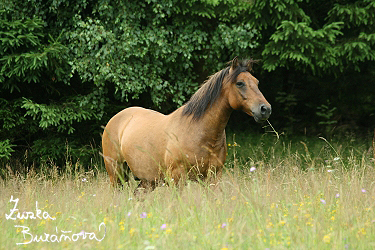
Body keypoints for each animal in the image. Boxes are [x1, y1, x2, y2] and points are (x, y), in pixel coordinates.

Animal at [101, 57, 272, 194]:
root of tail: (116, 119)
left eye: (257, 82)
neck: (199, 133)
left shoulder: (213, 177)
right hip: (116, 173)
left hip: (147, 181)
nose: (265, 109)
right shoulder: (178, 179)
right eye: (240, 83)